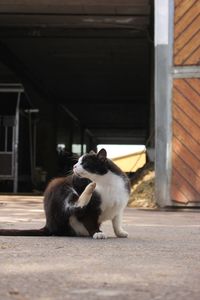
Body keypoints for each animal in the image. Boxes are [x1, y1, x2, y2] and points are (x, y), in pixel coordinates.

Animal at [0, 148, 130, 239]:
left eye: (84, 163)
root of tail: (49, 226)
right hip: (58, 185)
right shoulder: (90, 210)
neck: (105, 182)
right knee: (73, 206)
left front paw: (120, 232)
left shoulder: (119, 207)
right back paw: (89, 188)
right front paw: (97, 233)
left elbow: (117, 221)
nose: (74, 166)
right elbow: (89, 219)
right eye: (77, 162)